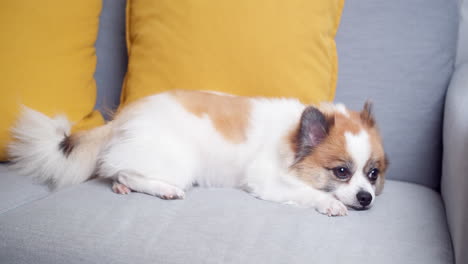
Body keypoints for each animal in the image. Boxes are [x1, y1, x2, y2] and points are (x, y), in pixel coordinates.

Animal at [7, 89, 388, 216]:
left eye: (373, 174)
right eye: (341, 172)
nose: (366, 198)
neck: (292, 137)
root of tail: (123, 118)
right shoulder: (269, 183)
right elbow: (309, 193)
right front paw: (330, 203)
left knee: (117, 170)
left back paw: (121, 186)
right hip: (179, 163)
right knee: (127, 169)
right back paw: (162, 189)